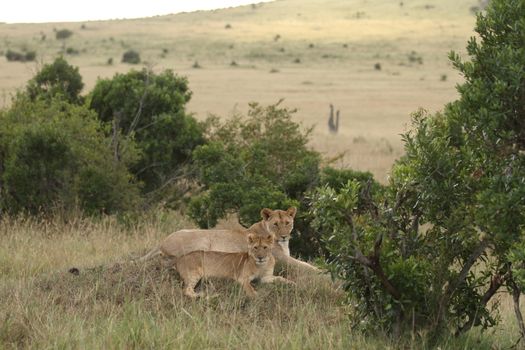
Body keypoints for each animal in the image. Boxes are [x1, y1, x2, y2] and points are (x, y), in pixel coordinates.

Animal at [139, 206, 318, 272]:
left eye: (287, 223)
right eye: (275, 224)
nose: (284, 236)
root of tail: (162, 241)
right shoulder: (282, 260)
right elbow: (304, 265)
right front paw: (320, 271)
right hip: (203, 239)